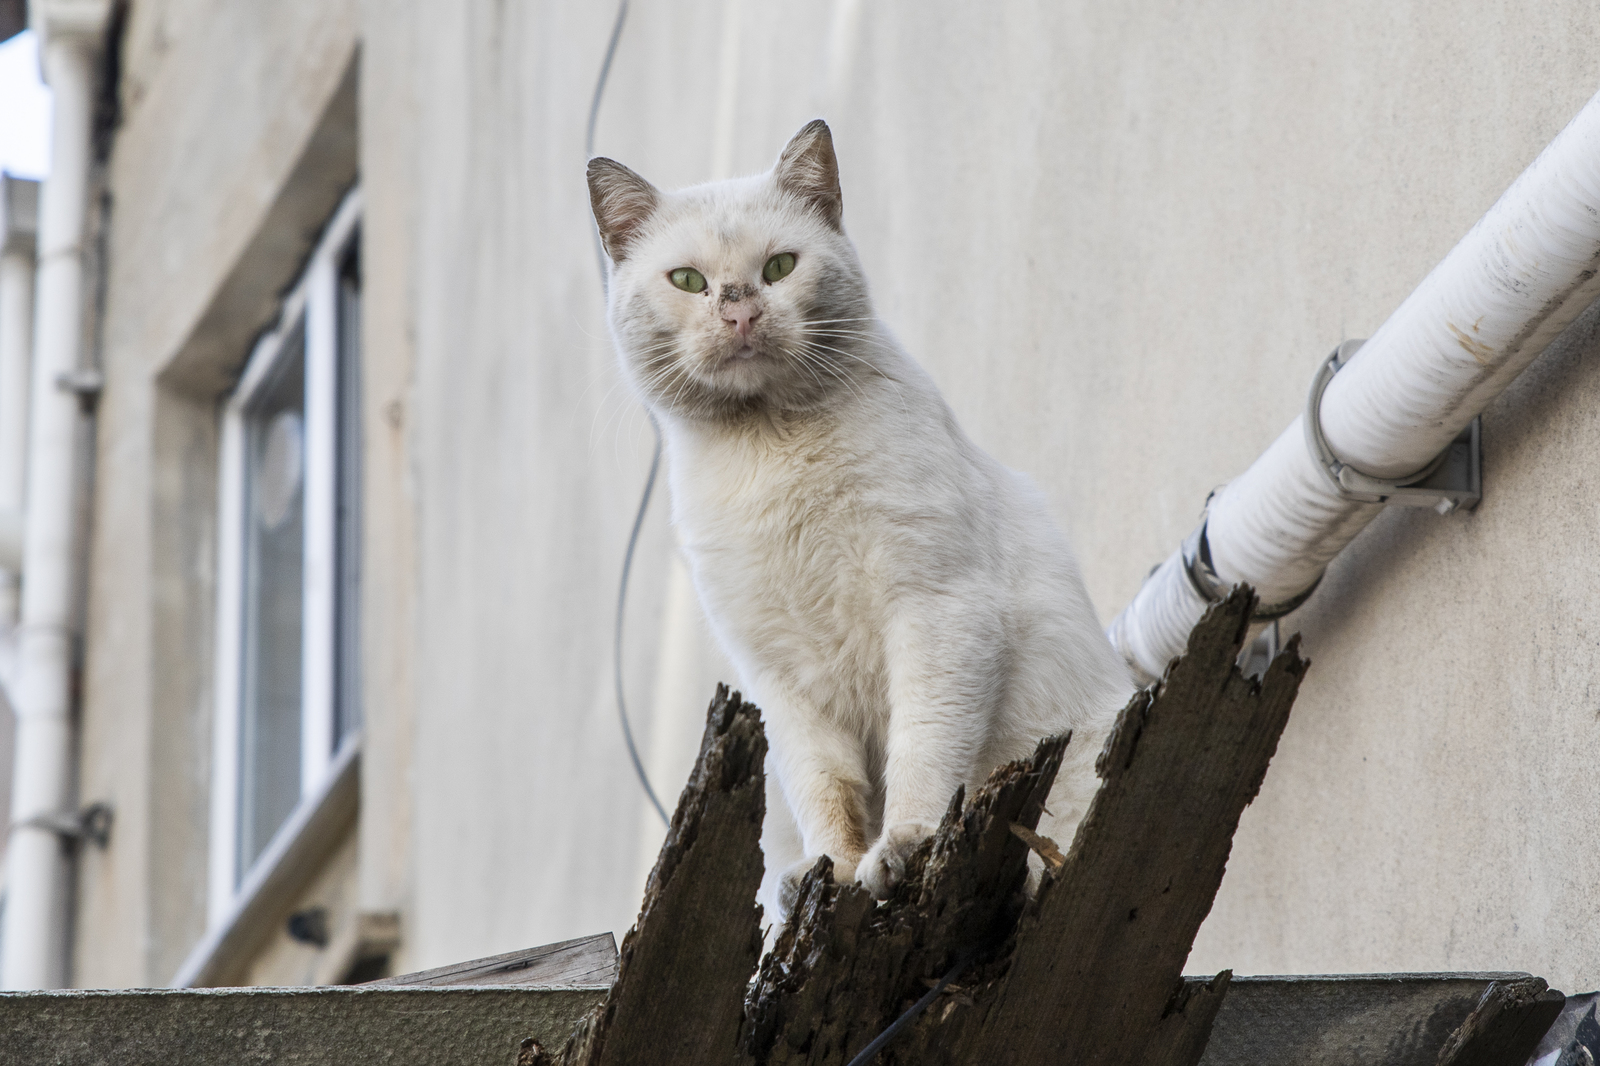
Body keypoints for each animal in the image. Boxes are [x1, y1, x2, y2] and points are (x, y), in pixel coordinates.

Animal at [592, 116, 1139, 915]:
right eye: (688, 281)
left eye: (780, 267)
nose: (740, 309)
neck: (771, 448)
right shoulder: (780, 677)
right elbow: (825, 790)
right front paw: (834, 872)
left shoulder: (937, 609)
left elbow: (923, 750)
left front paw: (903, 850)